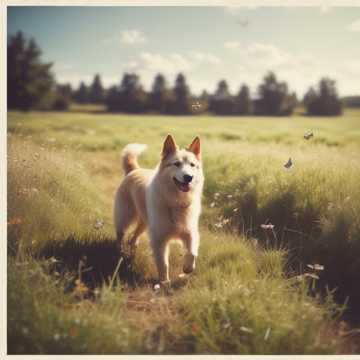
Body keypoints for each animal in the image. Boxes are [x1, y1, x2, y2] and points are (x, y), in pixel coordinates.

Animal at [114, 135, 204, 284]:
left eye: (192, 165)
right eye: (176, 164)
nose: (188, 177)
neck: (175, 201)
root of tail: (134, 170)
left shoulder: (189, 232)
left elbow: (192, 252)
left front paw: (187, 268)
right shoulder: (159, 238)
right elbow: (163, 263)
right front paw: (164, 282)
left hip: (144, 224)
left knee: (132, 238)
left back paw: (131, 254)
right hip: (124, 217)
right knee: (120, 235)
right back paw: (119, 253)